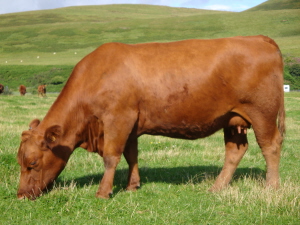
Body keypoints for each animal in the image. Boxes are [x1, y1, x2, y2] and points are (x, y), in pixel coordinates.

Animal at [17, 35, 286, 200]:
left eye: (33, 163)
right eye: (19, 161)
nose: (20, 195)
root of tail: (258, 38)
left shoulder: (118, 119)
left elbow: (111, 157)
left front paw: (103, 192)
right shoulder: (130, 125)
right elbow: (131, 155)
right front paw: (132, 186)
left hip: (262, 113)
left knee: (270, 146)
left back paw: (271, 187)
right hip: (232, 119)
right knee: (235, 151)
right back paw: (216, 187)